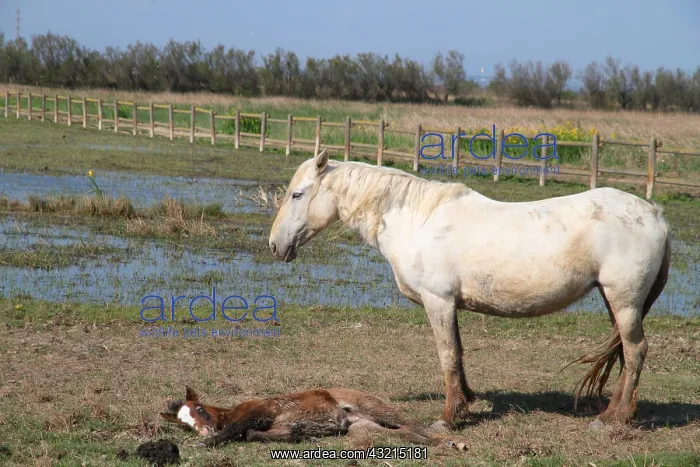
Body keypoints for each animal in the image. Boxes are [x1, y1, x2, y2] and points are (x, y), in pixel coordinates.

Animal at [268, 149, 672, 431]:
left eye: (297, 195)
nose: (274, 245)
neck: (416, 221)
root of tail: (654, 215)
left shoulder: (438, 302)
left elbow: (448, 356)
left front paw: (447, 418)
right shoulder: (449, 305)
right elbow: (459, 354)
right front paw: (465, 404)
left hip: (624, 301)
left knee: (635, 351)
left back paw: (613, 418)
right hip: (613, 299)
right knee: (626, 353)